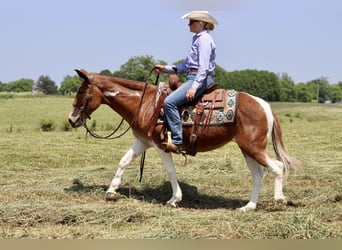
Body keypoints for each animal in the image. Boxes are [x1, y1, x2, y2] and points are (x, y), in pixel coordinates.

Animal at [67, 68, 296, 211]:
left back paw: (280, 199)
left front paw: (174, 199)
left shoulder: (160, 145)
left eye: (81, 91)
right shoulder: (143, 142)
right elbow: (123, 161)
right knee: (258, 175)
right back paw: (248, 207)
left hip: (254, 148)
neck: (144, 103)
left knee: (277, 167)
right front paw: (111, 192)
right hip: (246, 148)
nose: (71, 119)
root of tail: (264, 105)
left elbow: (170, 171)